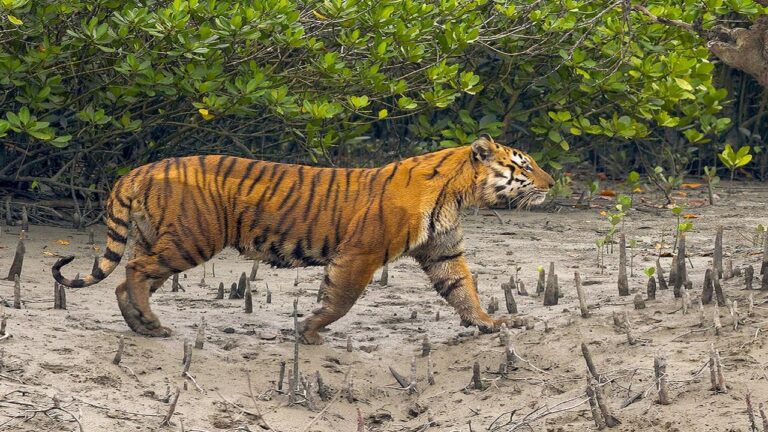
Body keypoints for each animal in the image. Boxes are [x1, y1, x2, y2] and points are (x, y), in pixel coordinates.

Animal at [52, 135, 554, 344]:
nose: (551, 184)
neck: (457, 193)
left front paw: (492, 324)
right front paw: (309, 331)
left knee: (125, 280)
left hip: (158, 239)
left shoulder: (443, 251)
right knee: (134, 273)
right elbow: (341, 299)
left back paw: (140, 326)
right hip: (192, 240)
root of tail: (139, 170)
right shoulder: (359, 254)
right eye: (524, 165)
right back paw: (153, 326)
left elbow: (463, 291)